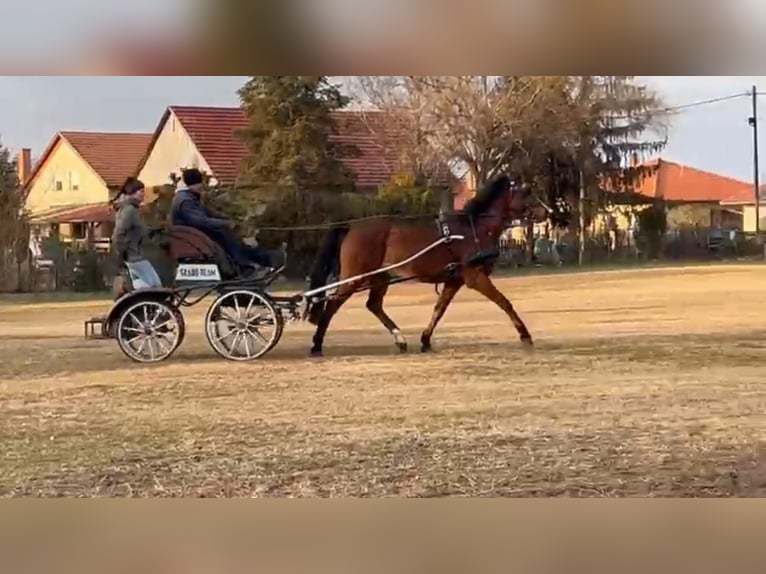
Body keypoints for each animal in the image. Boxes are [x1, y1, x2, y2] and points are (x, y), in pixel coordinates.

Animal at [306, 173, 552, 358]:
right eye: (526, 191)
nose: (547, 212)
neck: (473, 229)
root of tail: (351, 226)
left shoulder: (454, 280)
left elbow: (439, 309)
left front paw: (425, 339)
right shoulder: (475, 278)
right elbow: (504, 302)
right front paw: (525, 335)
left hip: (380, 276)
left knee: (373, 305)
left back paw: (400, 340)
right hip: (356, 276)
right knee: (333, 304)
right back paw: (317, 344)